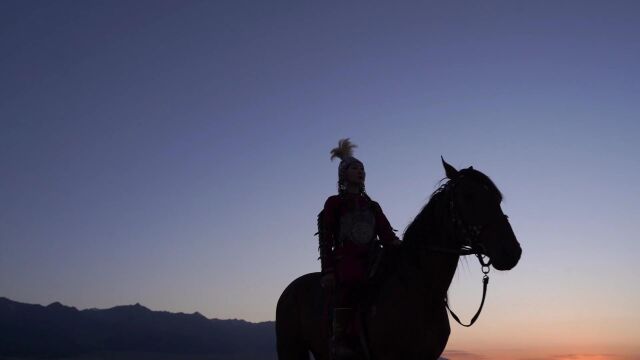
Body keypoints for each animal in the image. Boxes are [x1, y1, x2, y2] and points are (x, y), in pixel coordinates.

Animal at [276, 159, 520, 358]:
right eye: (468, 195)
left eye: (497, 198)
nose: (511, 252)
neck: (422, 291)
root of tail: (291, 288)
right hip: (291, 348)